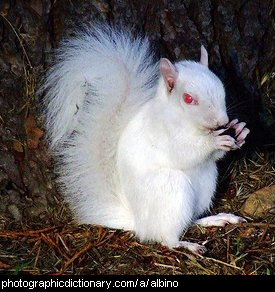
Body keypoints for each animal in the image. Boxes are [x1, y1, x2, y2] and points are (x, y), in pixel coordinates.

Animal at [42, 24, 251, 254]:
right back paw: (186, 244)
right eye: (188, 98)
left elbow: (216, 155)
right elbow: (185, 152)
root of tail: (139, 222)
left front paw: (239, 131)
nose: (223, 121)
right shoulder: (163, 135)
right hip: (173, 188)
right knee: (166, 237)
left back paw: (213, 219)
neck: (182, 119)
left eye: (221, 87)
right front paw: (215, 141)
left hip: (205, 184)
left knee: (189, 220)